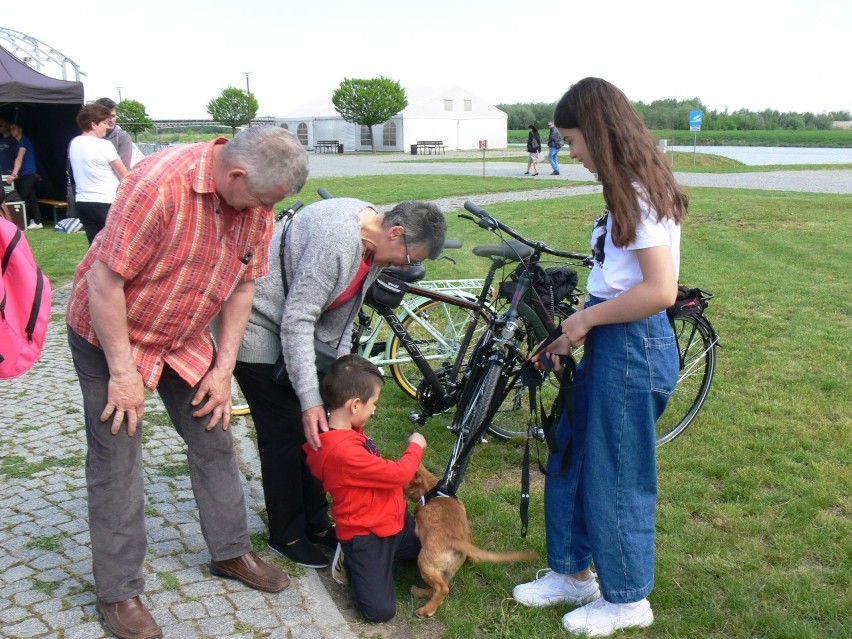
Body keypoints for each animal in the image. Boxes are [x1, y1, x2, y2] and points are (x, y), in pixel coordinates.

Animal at [402, 468, 536, 616]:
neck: (434, 489)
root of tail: (456, 541)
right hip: (447, 570)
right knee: (440, 588)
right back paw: (419, 592)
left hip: (425, 563)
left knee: (442, 588)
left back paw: (426, 610)